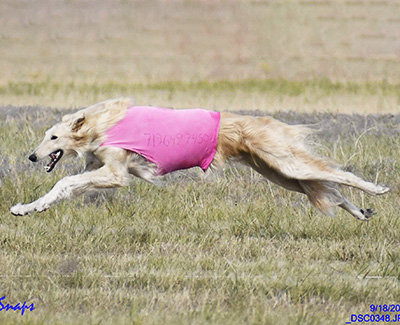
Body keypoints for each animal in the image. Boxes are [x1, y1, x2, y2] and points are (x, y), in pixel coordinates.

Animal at [10, 95, 390, 218]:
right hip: (280, 174)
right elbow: (62, 188)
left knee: (341, 176)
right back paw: (361, 212)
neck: (101, 125)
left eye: (53, 137)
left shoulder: (115, 173)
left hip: (287, 162)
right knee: (332, 190)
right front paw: (25, 208)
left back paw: (377, 190)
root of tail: (269, 122)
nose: (31, 157)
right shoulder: (100, 168)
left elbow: (65, 180)